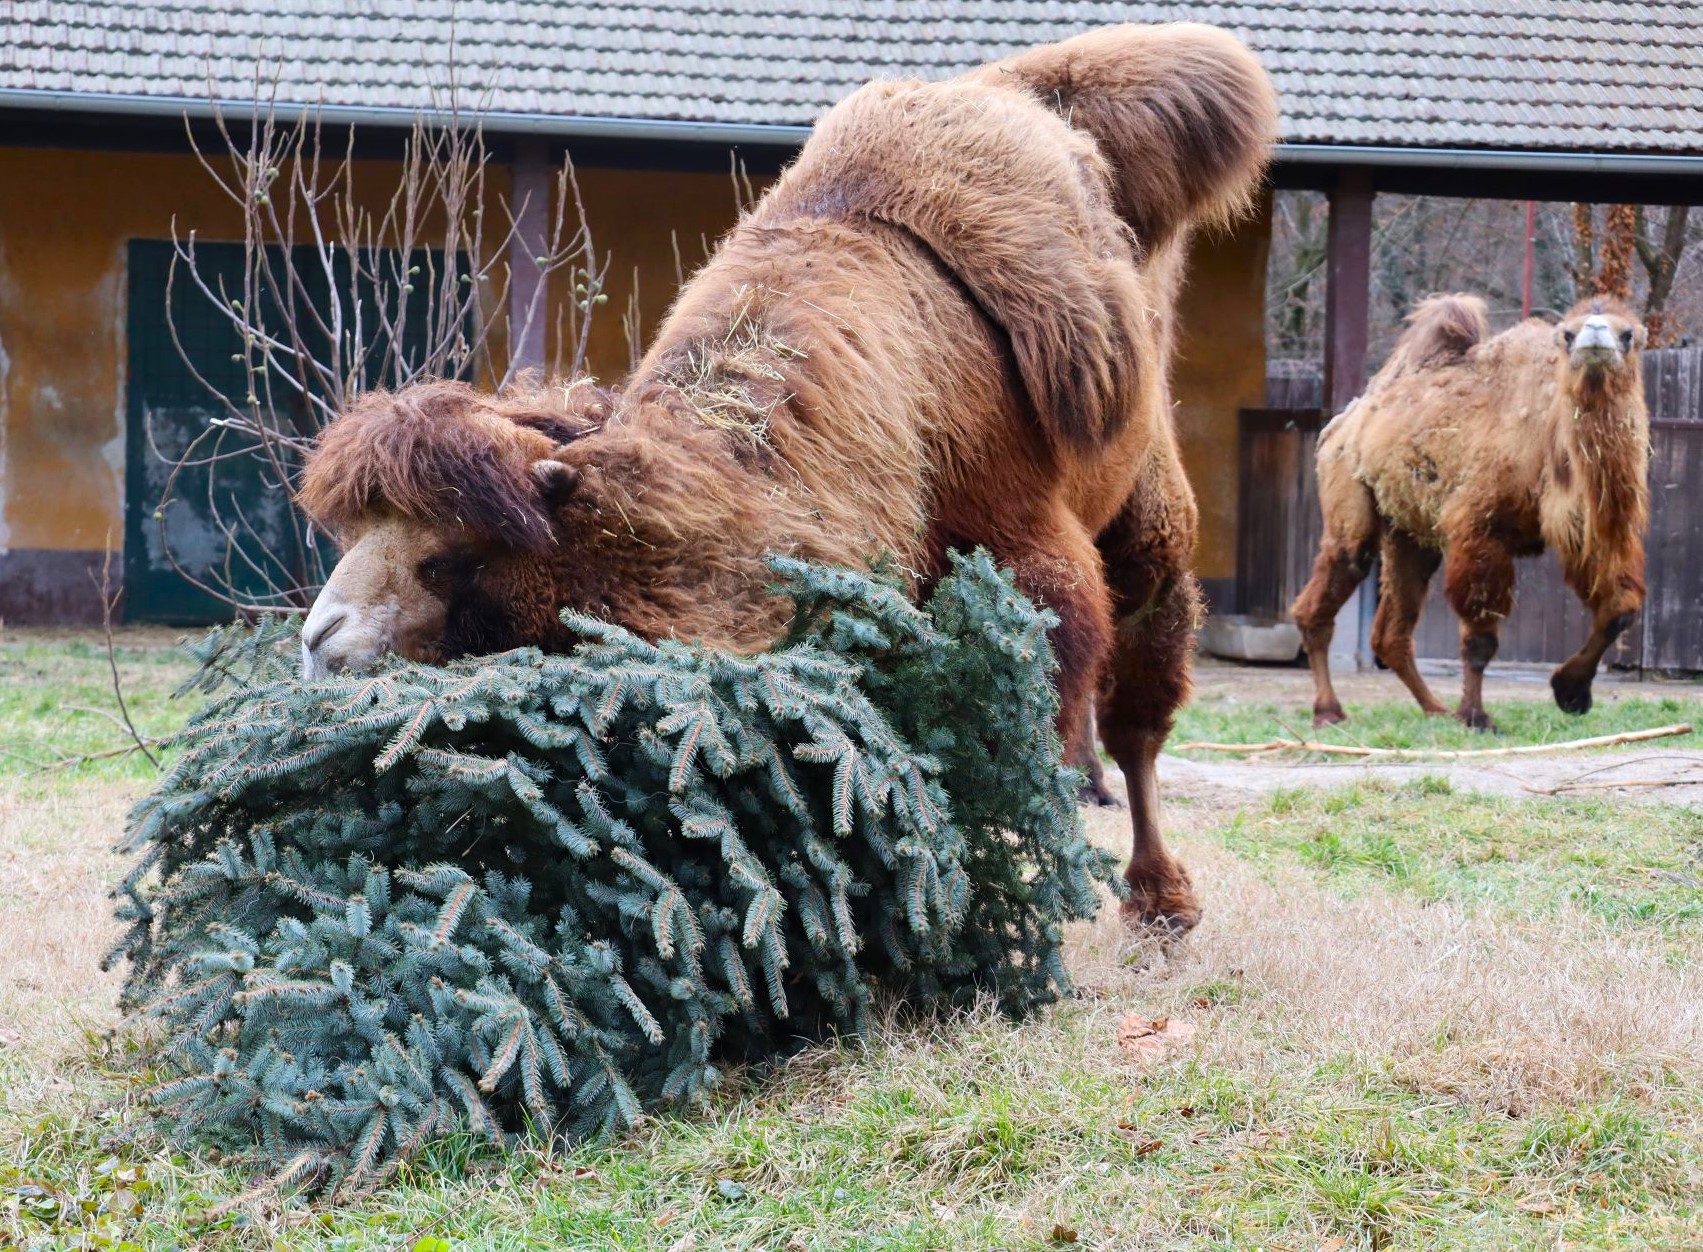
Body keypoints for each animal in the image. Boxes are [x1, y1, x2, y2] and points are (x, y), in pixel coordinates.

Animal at [1287, 294, 1648, 729]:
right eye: (1567, 334)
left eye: (1628, 334)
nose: (1594, 336)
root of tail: (1340, 425)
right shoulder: (1479, 530)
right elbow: (1480, 638)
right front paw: (1476, 716)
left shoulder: (1587, 533)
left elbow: (1620, 610)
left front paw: (1571, 691)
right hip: (1348, 497)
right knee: (1328, 588)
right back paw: (1328, 710)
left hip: (1409, 533)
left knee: (1391, 630)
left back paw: (1433, 708)